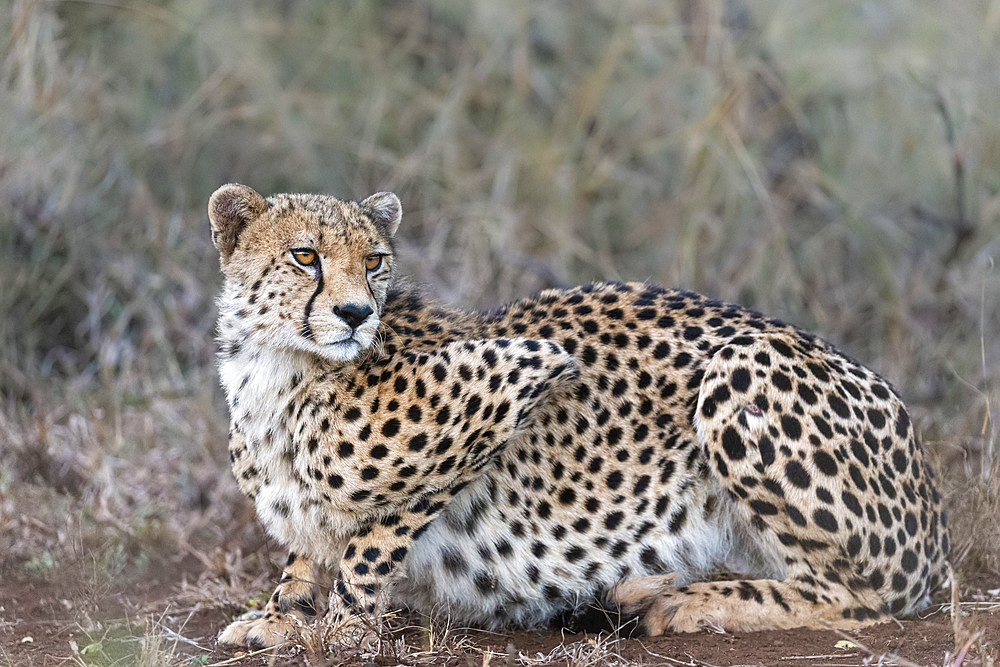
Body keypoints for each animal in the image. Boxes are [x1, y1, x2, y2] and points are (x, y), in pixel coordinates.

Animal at [209, 183, 944, 648]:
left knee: (868, 598)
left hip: (743, 362)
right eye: (305, 255)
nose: (357, 313)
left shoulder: (521, 371)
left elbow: (371, 541)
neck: (277, 365)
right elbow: (307, 546)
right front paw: (281, 615)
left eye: (374, 261)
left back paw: (690, 601)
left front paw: (341, 630)